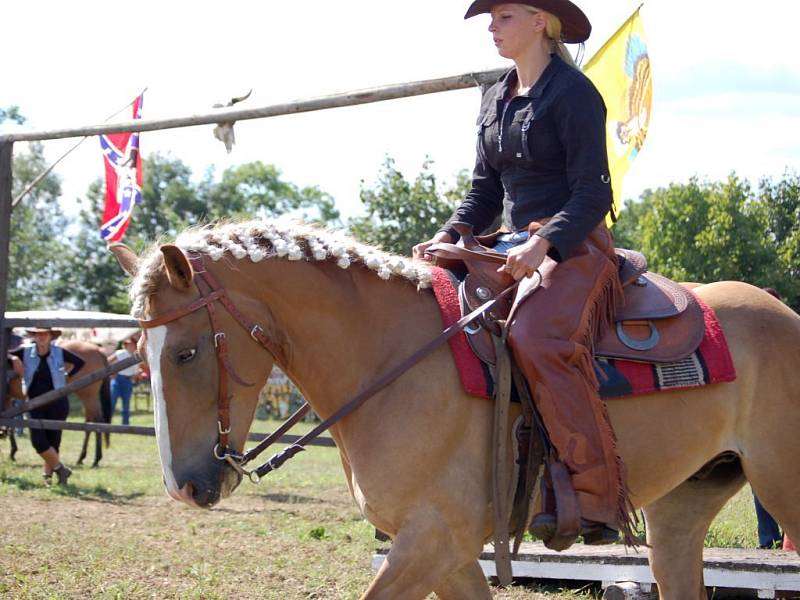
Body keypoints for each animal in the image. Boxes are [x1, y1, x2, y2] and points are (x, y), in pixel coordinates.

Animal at [111, 220, 800, 600]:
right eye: (138, 352)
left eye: (187, 352)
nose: (183, 486)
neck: (392, 359)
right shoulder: (450, 552)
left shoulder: (432, 539)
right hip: (682, 509)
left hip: (783, 487)